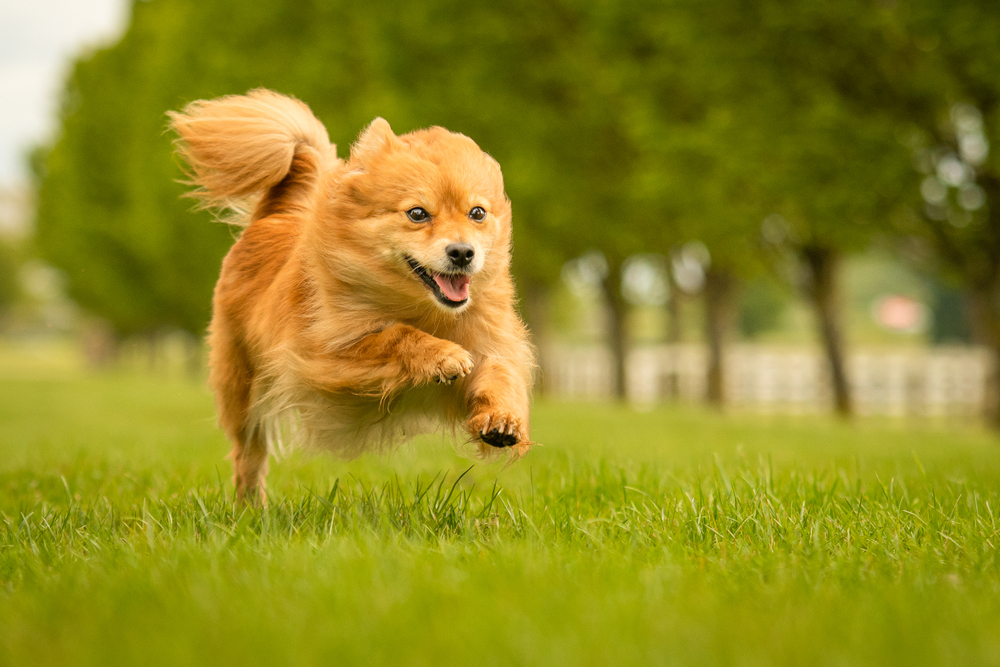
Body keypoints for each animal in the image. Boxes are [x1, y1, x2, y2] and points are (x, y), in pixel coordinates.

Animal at [168, 91, 536, 504]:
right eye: (417, 213)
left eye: (477, 213)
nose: (462, 252)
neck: (426, 311)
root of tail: (275, 216)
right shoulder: (324, 356)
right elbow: (395, 335)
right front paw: (443, 355)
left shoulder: (493, 344)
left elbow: (499, 374)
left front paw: (501, 419)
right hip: (243, 386)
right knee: (248, 453)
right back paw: (250, 506)